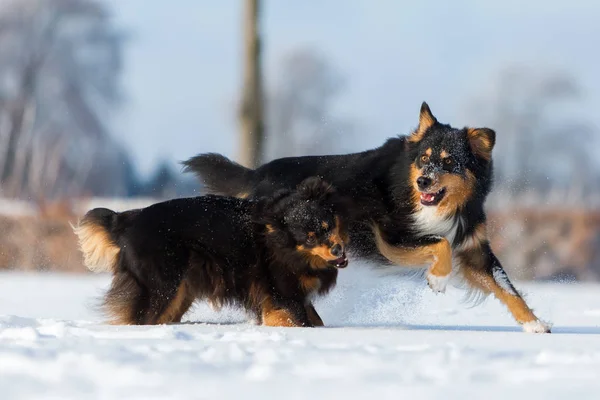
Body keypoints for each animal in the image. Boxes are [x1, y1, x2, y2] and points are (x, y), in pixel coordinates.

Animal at [72, 177, 350, 326]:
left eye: (327, 226)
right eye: (310, 238)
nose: (338, 249)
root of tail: (125, 220)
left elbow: (313, 319)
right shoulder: (282, 289)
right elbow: (300, 318)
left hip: (182, 286)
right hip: (161, 282)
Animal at [184, 101, 552, 332]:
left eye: (449, 162)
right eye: (424, 158)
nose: (423, 181)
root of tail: (258, 174)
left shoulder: (474, 247)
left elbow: (507, 287)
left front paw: (536, 325)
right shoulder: (391, 236)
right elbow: (439, 245)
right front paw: (437, 279)